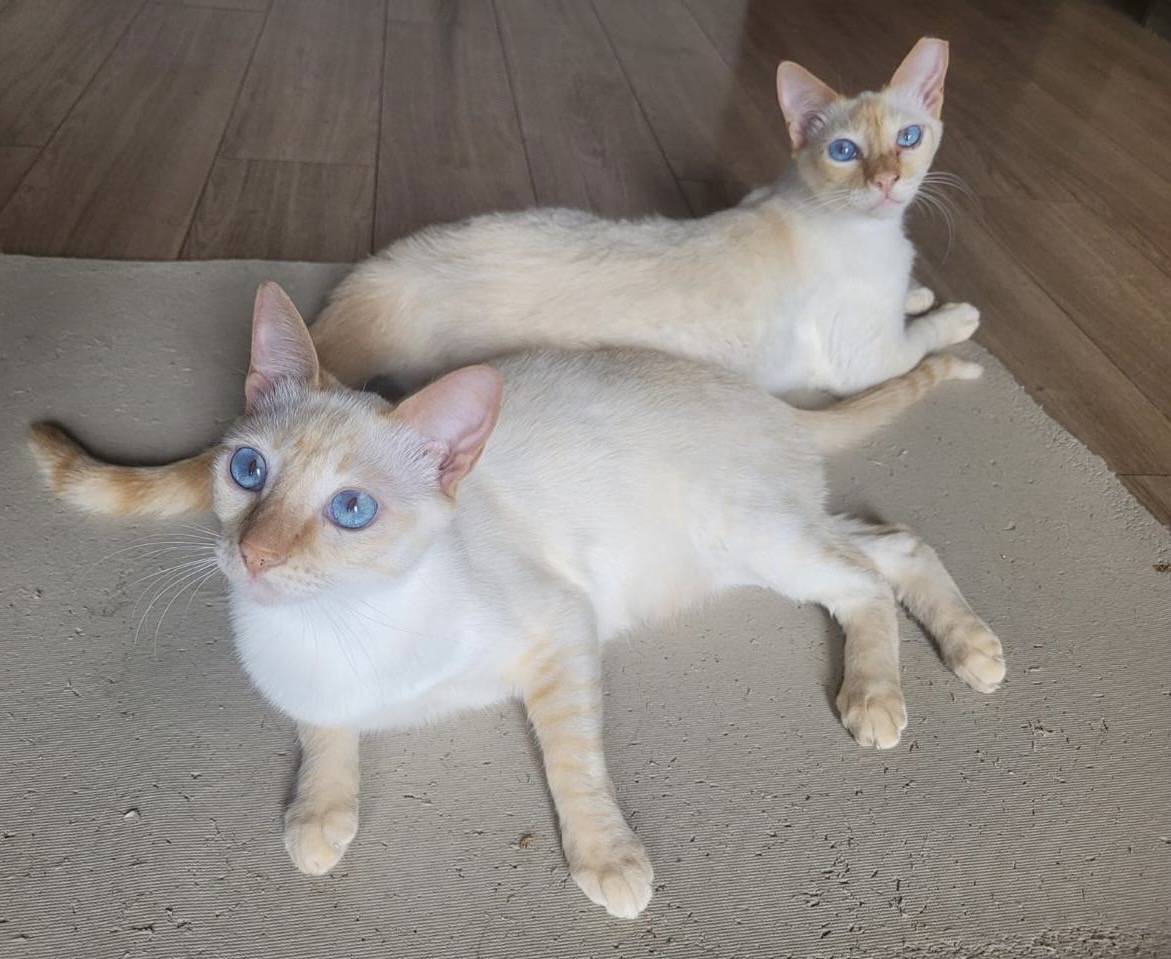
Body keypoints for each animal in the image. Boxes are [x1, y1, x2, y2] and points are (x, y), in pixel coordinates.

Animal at [29, 283, 1005, 919]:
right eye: (246, 470)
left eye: (351, 510)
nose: (256, 554)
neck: (343, 628)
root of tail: (765, 400)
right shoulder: (308, 686)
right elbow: (323, 729)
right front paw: (321, 811)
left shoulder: (560, 629)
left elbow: (575, 763)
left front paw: (606, 856)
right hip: (762, 546)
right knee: (891, 545)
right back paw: (965, 647)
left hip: (755, 541)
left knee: (865, 576)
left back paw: (882, 691)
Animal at [310, 37, 977, 402]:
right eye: (844, 152)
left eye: (908, 138)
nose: (886, 183)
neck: (880, 232)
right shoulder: (869, 361)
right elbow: (925, 336)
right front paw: (959, 315)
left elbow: (909, 299)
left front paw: (919, 293)